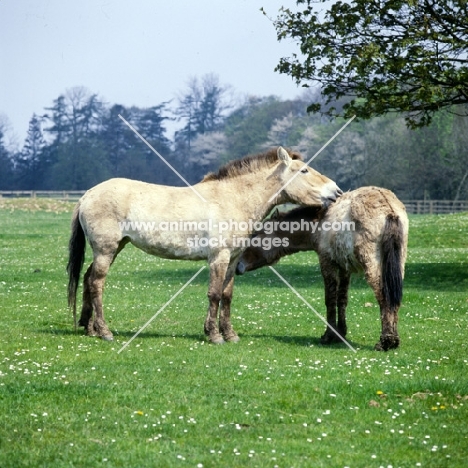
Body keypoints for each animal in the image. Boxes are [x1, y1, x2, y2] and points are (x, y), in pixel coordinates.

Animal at [66, 147, 340, 344]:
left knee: (88, 278)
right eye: (304, 171)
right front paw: (214, 335)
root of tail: (87, 195)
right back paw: (104, 332)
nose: (336, 192)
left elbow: (227, 296)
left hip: (115, 247)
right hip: (106, 249)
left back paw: (90, 329)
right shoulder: (219, 257)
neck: (233, 199)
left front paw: (230, 335)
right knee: (97, 282)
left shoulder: (232, 259)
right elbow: (214, 294)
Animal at [236, 186, 408, 352]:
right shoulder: (344, 267)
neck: (319, 221)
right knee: (394, 298)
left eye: (255, 235)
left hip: (373, 265)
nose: (237, 265)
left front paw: (329, 335)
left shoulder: (327, 262)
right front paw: (341, 333)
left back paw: (386, 341)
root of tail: (389, 210)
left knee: (384, 296)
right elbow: (342, 299)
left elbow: (330, 298)